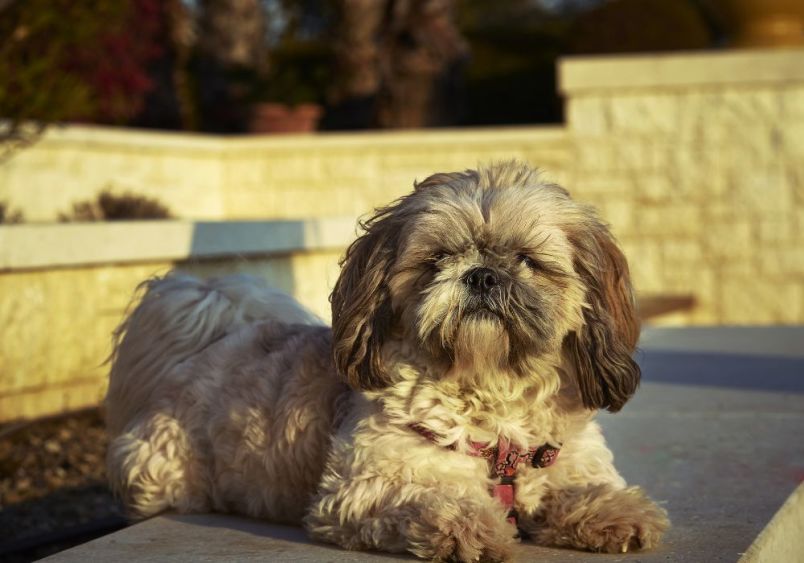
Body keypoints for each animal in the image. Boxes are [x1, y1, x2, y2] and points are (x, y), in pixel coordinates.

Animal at [108, 161, 672, 560]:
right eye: (437, 258)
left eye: (527, 260)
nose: (482, 274)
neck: (492, 396)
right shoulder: (363, 487)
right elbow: (427, 499)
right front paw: (467, 524)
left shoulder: (563, 459)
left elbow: (579, 488)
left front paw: (615, 512)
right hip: (162, 468)